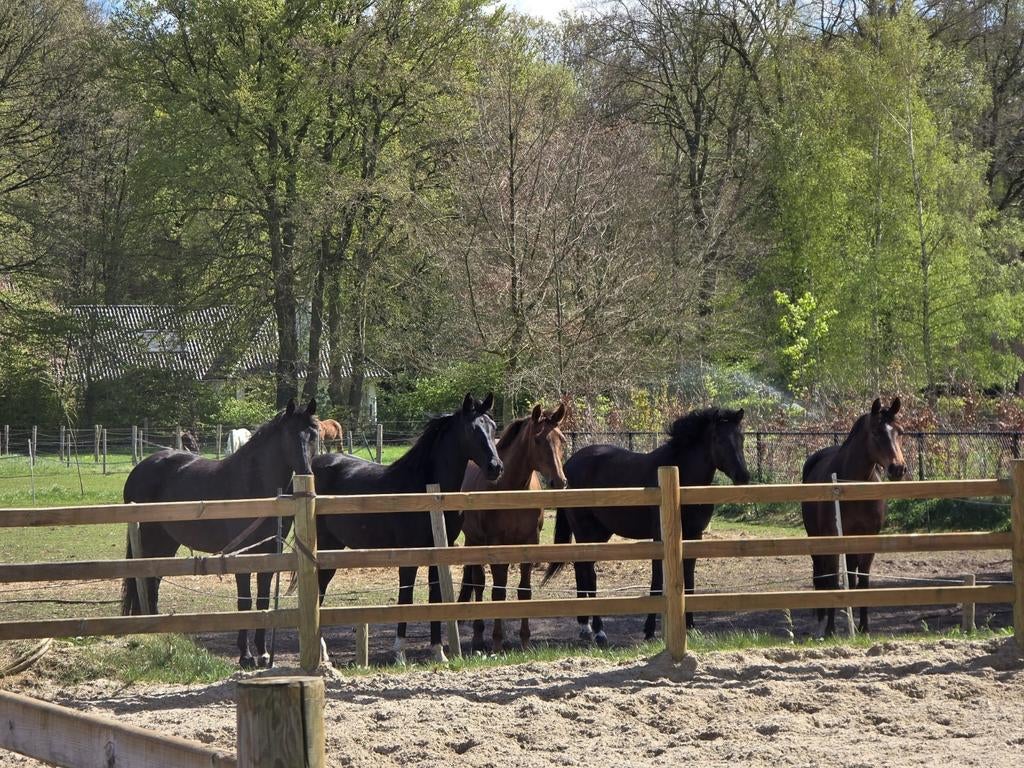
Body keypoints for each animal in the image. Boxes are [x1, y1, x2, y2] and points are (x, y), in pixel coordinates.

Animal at [121, 398, 318, 668]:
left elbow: (263, 601)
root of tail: (140, 469)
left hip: (165, 541)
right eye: (290, 433)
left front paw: (263, 654)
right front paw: (246, 656)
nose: (306, 472)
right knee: (145, 579)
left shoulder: (268, 554)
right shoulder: (240, 555)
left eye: (314, 434)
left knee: (153, 580)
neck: (253, 485)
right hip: (150, 539)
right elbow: (245, 602)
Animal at [313, 393, 503, 664]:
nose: (495, 467)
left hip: (335, 548)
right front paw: (400, 653)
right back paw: (322, 652)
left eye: (494, 427)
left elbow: (435, 597)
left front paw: (438, 651)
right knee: (317, 590)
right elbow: (406, 597)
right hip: (326, 546)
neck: (427, 490)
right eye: (472, 429)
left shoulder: (438, 553)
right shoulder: (408, 554)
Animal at [457, 403, 567, 652]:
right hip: (474, 540)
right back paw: (478, 636)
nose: (560, 481)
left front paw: (525, 640)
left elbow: (524, 590)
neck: (511, 490)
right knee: (478, 583)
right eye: (538, 440)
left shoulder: (530, 542)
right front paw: (497, 642)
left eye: (562, 440)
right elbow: (498, 592)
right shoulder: (496, 544)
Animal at [543, 408, 750, 645]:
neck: (681, 478)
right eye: (718, 439)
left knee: (581, 568)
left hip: (599, 532)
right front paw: (650, 631)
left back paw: (584, 626)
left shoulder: (693, 536)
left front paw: (690, 627)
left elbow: (689, 580)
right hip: (586, 530)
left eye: (741, 437)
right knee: (589, 573)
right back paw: (598, 631)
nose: (744, 476)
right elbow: (657, 582)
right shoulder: (660, 537)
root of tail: (569, 465)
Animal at [801, 397, 906, 637]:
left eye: (900, 432)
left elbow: (862, 582)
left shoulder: (868, 539)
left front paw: (864, 627)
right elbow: (833, 582)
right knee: (821, 576)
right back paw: (820, 622)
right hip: (816, 538)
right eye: (876, 432)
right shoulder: (832, 540)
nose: (898, 468)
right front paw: (830, 629)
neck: (854, 487)